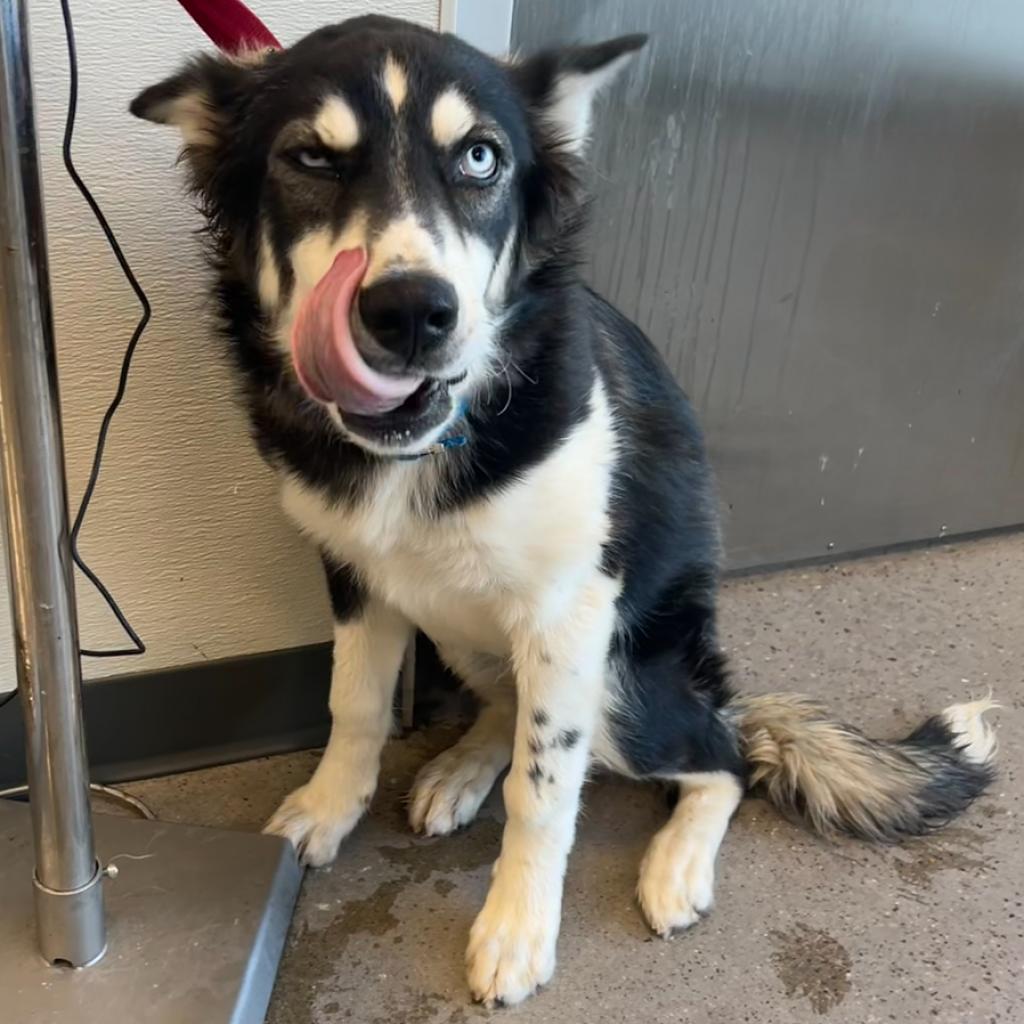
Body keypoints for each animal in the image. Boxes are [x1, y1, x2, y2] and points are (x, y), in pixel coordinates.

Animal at [132, 16, 995, 1007]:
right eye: (309, 157)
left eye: (480, 157)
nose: (413, 313)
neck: (440, 436)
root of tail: (712, 683)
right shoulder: (356, 576)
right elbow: (354, 703)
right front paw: (329, 806)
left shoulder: (568, 613)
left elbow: (545, 792)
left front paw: (517, 928)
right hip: (474, 633)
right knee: (514, 706)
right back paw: (463, 767)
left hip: (624, 679)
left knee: (727, 757)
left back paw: (676, 861)